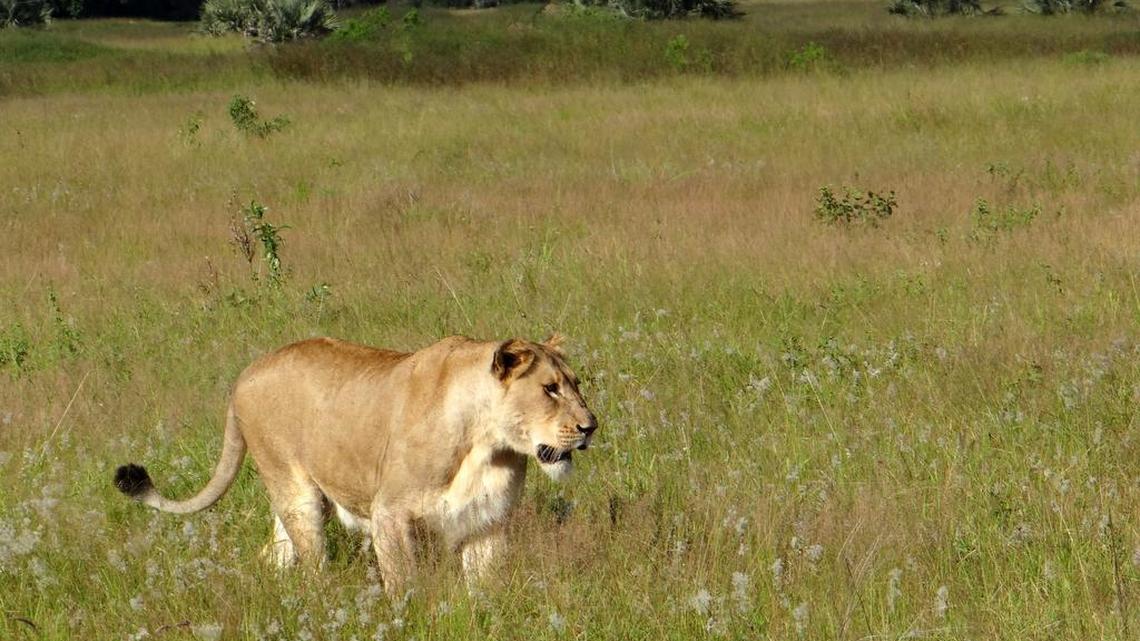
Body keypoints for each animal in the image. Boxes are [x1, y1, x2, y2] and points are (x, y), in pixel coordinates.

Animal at [114, 334, 597, 595]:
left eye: (576, 384)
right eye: (550, 389)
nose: (590, 426)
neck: (487, 443)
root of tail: (245, 375)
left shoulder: (487, 522)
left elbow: (484, 589)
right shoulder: (390, 514)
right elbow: (405, 586)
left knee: (273, 554)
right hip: (298, 494)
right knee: (312, 567)